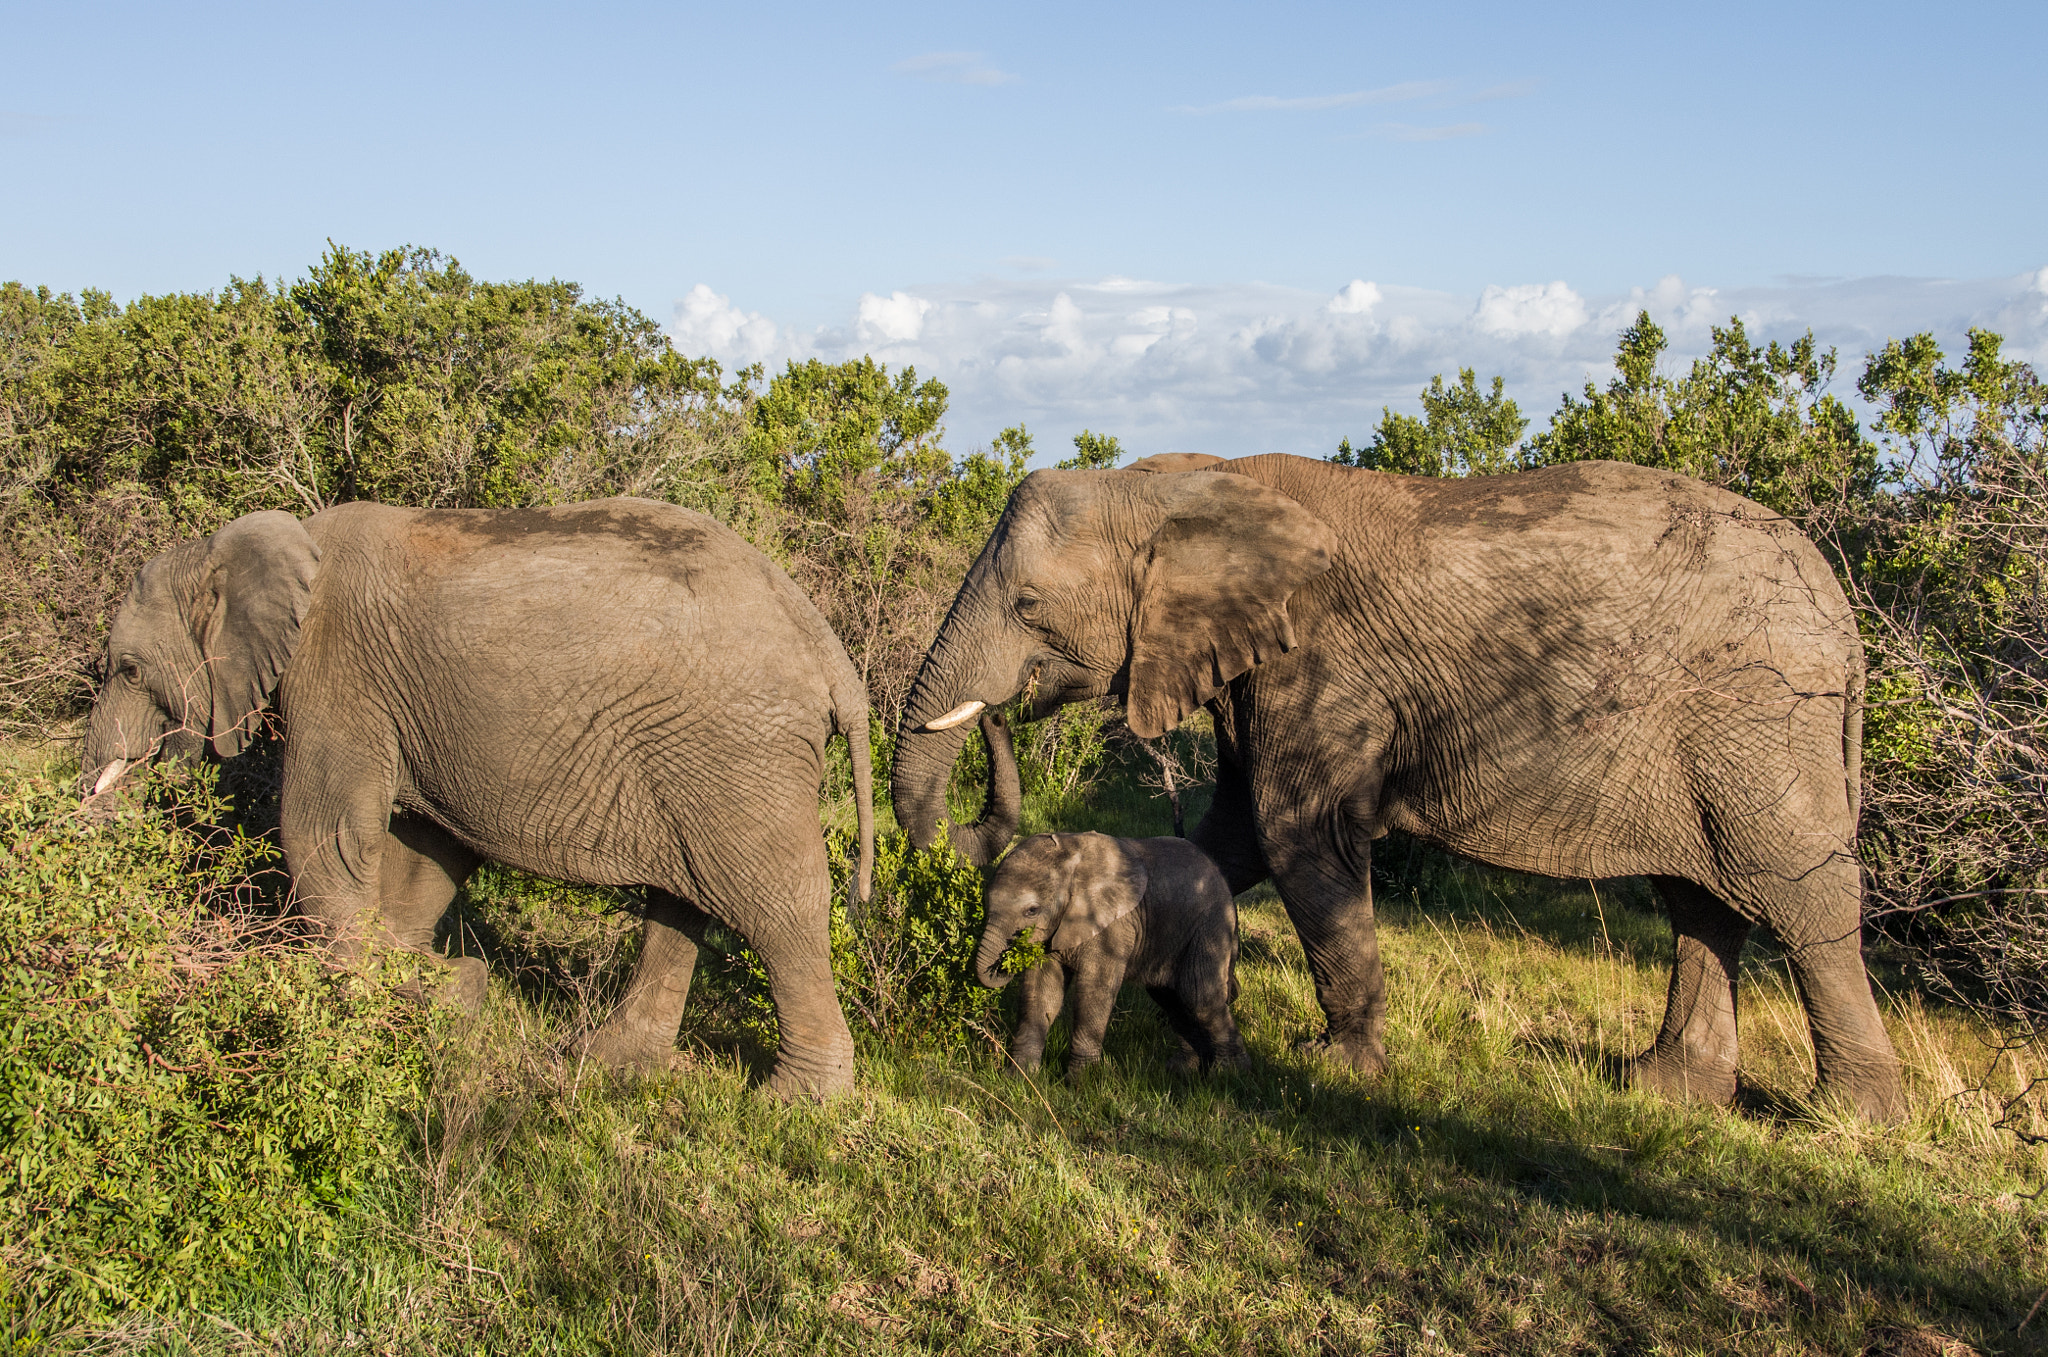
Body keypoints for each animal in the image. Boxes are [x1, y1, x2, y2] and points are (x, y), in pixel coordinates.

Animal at [81, 499, 872, 1105]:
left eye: (128, 669)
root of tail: (829, 649)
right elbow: (428, 851)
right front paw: (425, 984)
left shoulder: (336, 670)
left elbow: (323, 835)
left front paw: (373, 1003)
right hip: (699, 754)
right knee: (682, 901)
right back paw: (606, 1059)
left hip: (737, 752)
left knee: (778, 905)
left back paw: (796, 1101)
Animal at [974, 826, 1245, 1080]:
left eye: (1032, 910)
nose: (1007, 959)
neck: (1070, 855)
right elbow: (1042, 991)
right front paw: (1018, 1076)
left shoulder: (1112, 925)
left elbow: (1094, 990)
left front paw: (1081, 1082)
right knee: (1172, 999)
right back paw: (1183, 1070)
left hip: (1210, 926)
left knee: (1199, 996)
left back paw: (1228, 1074)